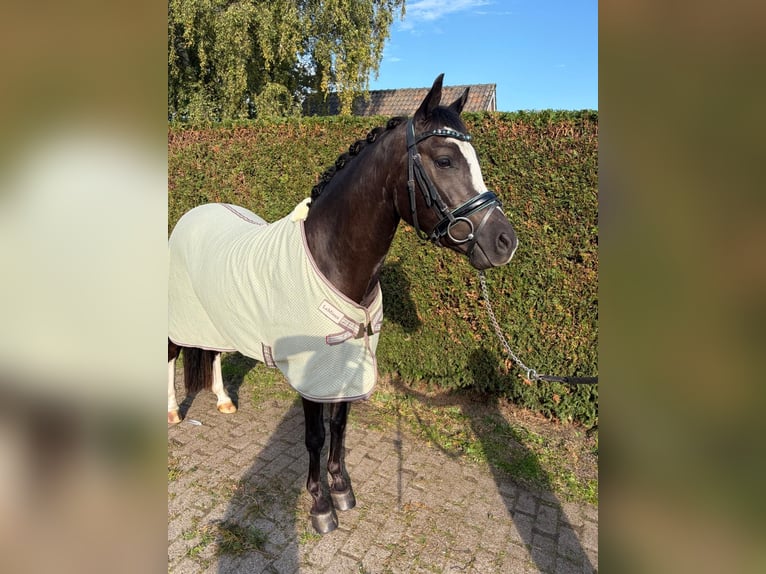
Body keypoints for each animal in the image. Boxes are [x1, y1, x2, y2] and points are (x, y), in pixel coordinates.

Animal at [167, 74, 518, 534]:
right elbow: (316, 434)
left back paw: (224, 401)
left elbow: (339, 423)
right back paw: (172, 414)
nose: (504, 241)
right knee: (171, 357)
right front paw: (319, 506)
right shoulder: (312, 369)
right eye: (444, 160)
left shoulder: (347, 359)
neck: (330, 257)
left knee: (212, 355)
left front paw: (341, 489)